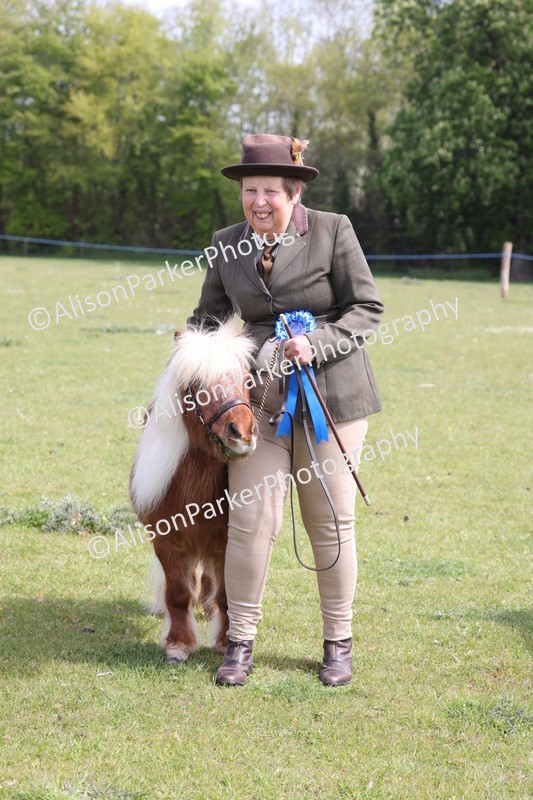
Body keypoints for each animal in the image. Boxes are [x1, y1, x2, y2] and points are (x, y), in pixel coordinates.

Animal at [130, 319, 258, 662]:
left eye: (247, 379)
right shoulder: (166, 542)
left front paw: (226, 642)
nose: (241, 434)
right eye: (197, 385)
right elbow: (177, 594)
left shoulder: (226, 542)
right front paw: (179, 644)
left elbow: (227, 594)